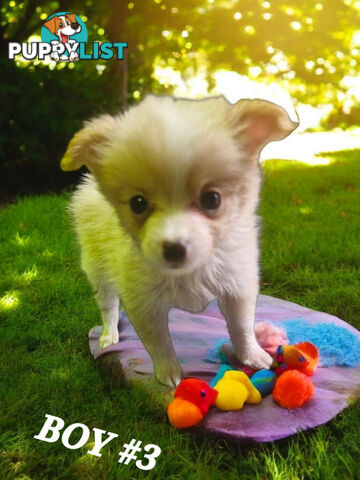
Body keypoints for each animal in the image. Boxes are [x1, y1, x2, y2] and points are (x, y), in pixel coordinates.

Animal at [61, 94, 298, 386]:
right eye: (137, 204)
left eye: (212, 199)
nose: (173, 249)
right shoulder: (143, 301)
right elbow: (158, 342)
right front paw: (169, 373)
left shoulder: (238, 284)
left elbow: (241, 327)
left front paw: (253, 356)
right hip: (97, 267)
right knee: (108, 304)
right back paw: (109, 335)